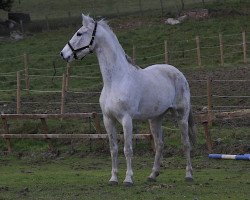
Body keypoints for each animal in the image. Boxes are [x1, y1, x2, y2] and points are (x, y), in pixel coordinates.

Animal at [61, 14, 197, 186]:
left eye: (79, 33)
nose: (63, 54)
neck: (116, 80)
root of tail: (178, 73)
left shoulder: (126, 119)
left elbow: (128, 149)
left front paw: (128, 179)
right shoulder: (108, 120)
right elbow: (113, 149)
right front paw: (113, 178)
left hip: (181, 115)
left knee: (186, 143)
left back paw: (189, 175)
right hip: (155, 119)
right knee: (159, 144)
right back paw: (152, 175)